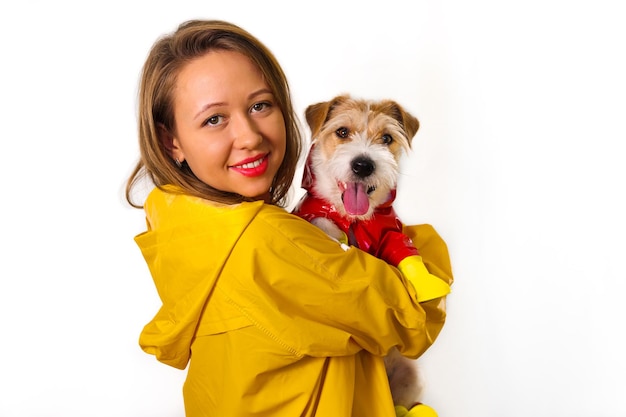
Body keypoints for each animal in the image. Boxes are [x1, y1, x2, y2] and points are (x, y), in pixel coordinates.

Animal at [292, 93, 434, 410]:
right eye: (342, 132)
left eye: (387, 138)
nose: (363, 165)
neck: (353, 218)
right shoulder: (314, 213)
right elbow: (323, 224)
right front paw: (336, 237)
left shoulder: (391, 231)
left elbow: (404, 252)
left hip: (412, 376)